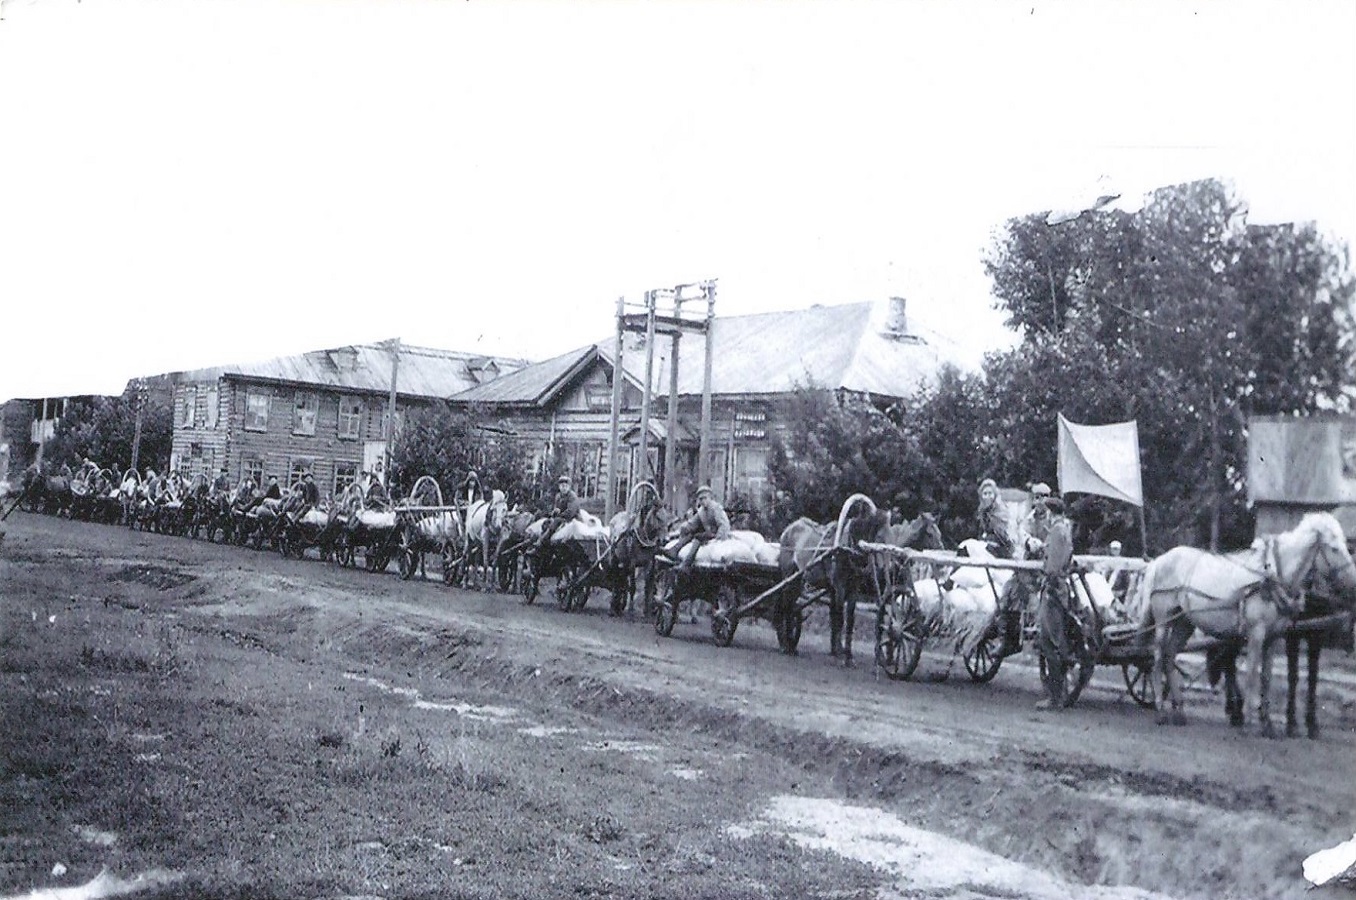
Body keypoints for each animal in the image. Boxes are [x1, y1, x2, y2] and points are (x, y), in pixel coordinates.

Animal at [786, 496, 943, 664]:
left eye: (939, 533)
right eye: (929, 534)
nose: (941, 552)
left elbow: (855, 619)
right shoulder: (856, 589)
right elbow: (849, 619)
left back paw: (833, 649)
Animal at [1128, 509, 1356, 737]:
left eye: (1346, 545)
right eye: (1334, 548)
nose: (1353, 583)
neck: (1271, 575)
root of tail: (1159, 560)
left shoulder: (1274, 636)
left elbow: (1266, 678)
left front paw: (1267, 724)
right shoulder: (1256, 633)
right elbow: (1252, 675)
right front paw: (1249, 722)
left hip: (1184, 622)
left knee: (1170, 655)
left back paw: (1179, 709)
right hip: (1163, 619)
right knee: (1157, 658)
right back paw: (1160, 709)